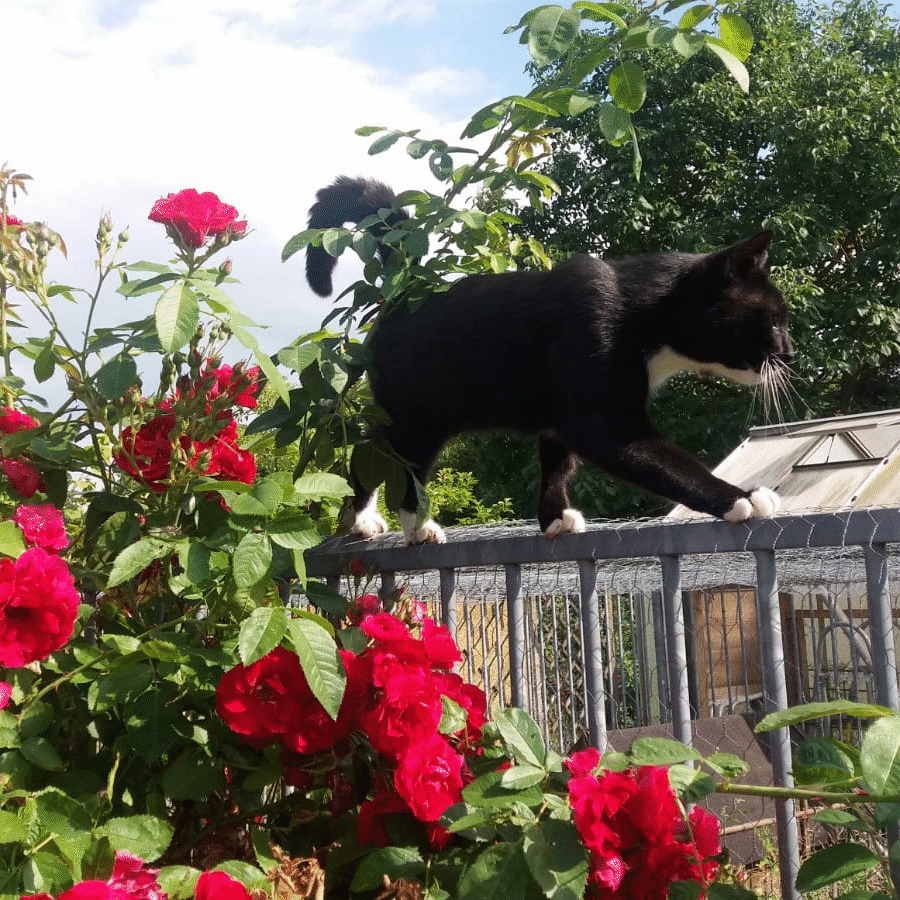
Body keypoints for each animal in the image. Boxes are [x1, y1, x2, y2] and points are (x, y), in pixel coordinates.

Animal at [306, 175, 792, 540]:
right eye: (774, 320)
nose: (790, 352)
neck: (643, 313)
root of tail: (407, 285)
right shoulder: (602, 411)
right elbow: (669, 462)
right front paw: (742, 497)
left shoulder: (562, 414)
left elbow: (558, 463)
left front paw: (554, 517)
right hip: (421, 412)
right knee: (400, 459)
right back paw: (417, 525)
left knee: (368, 446)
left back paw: (362, 518)